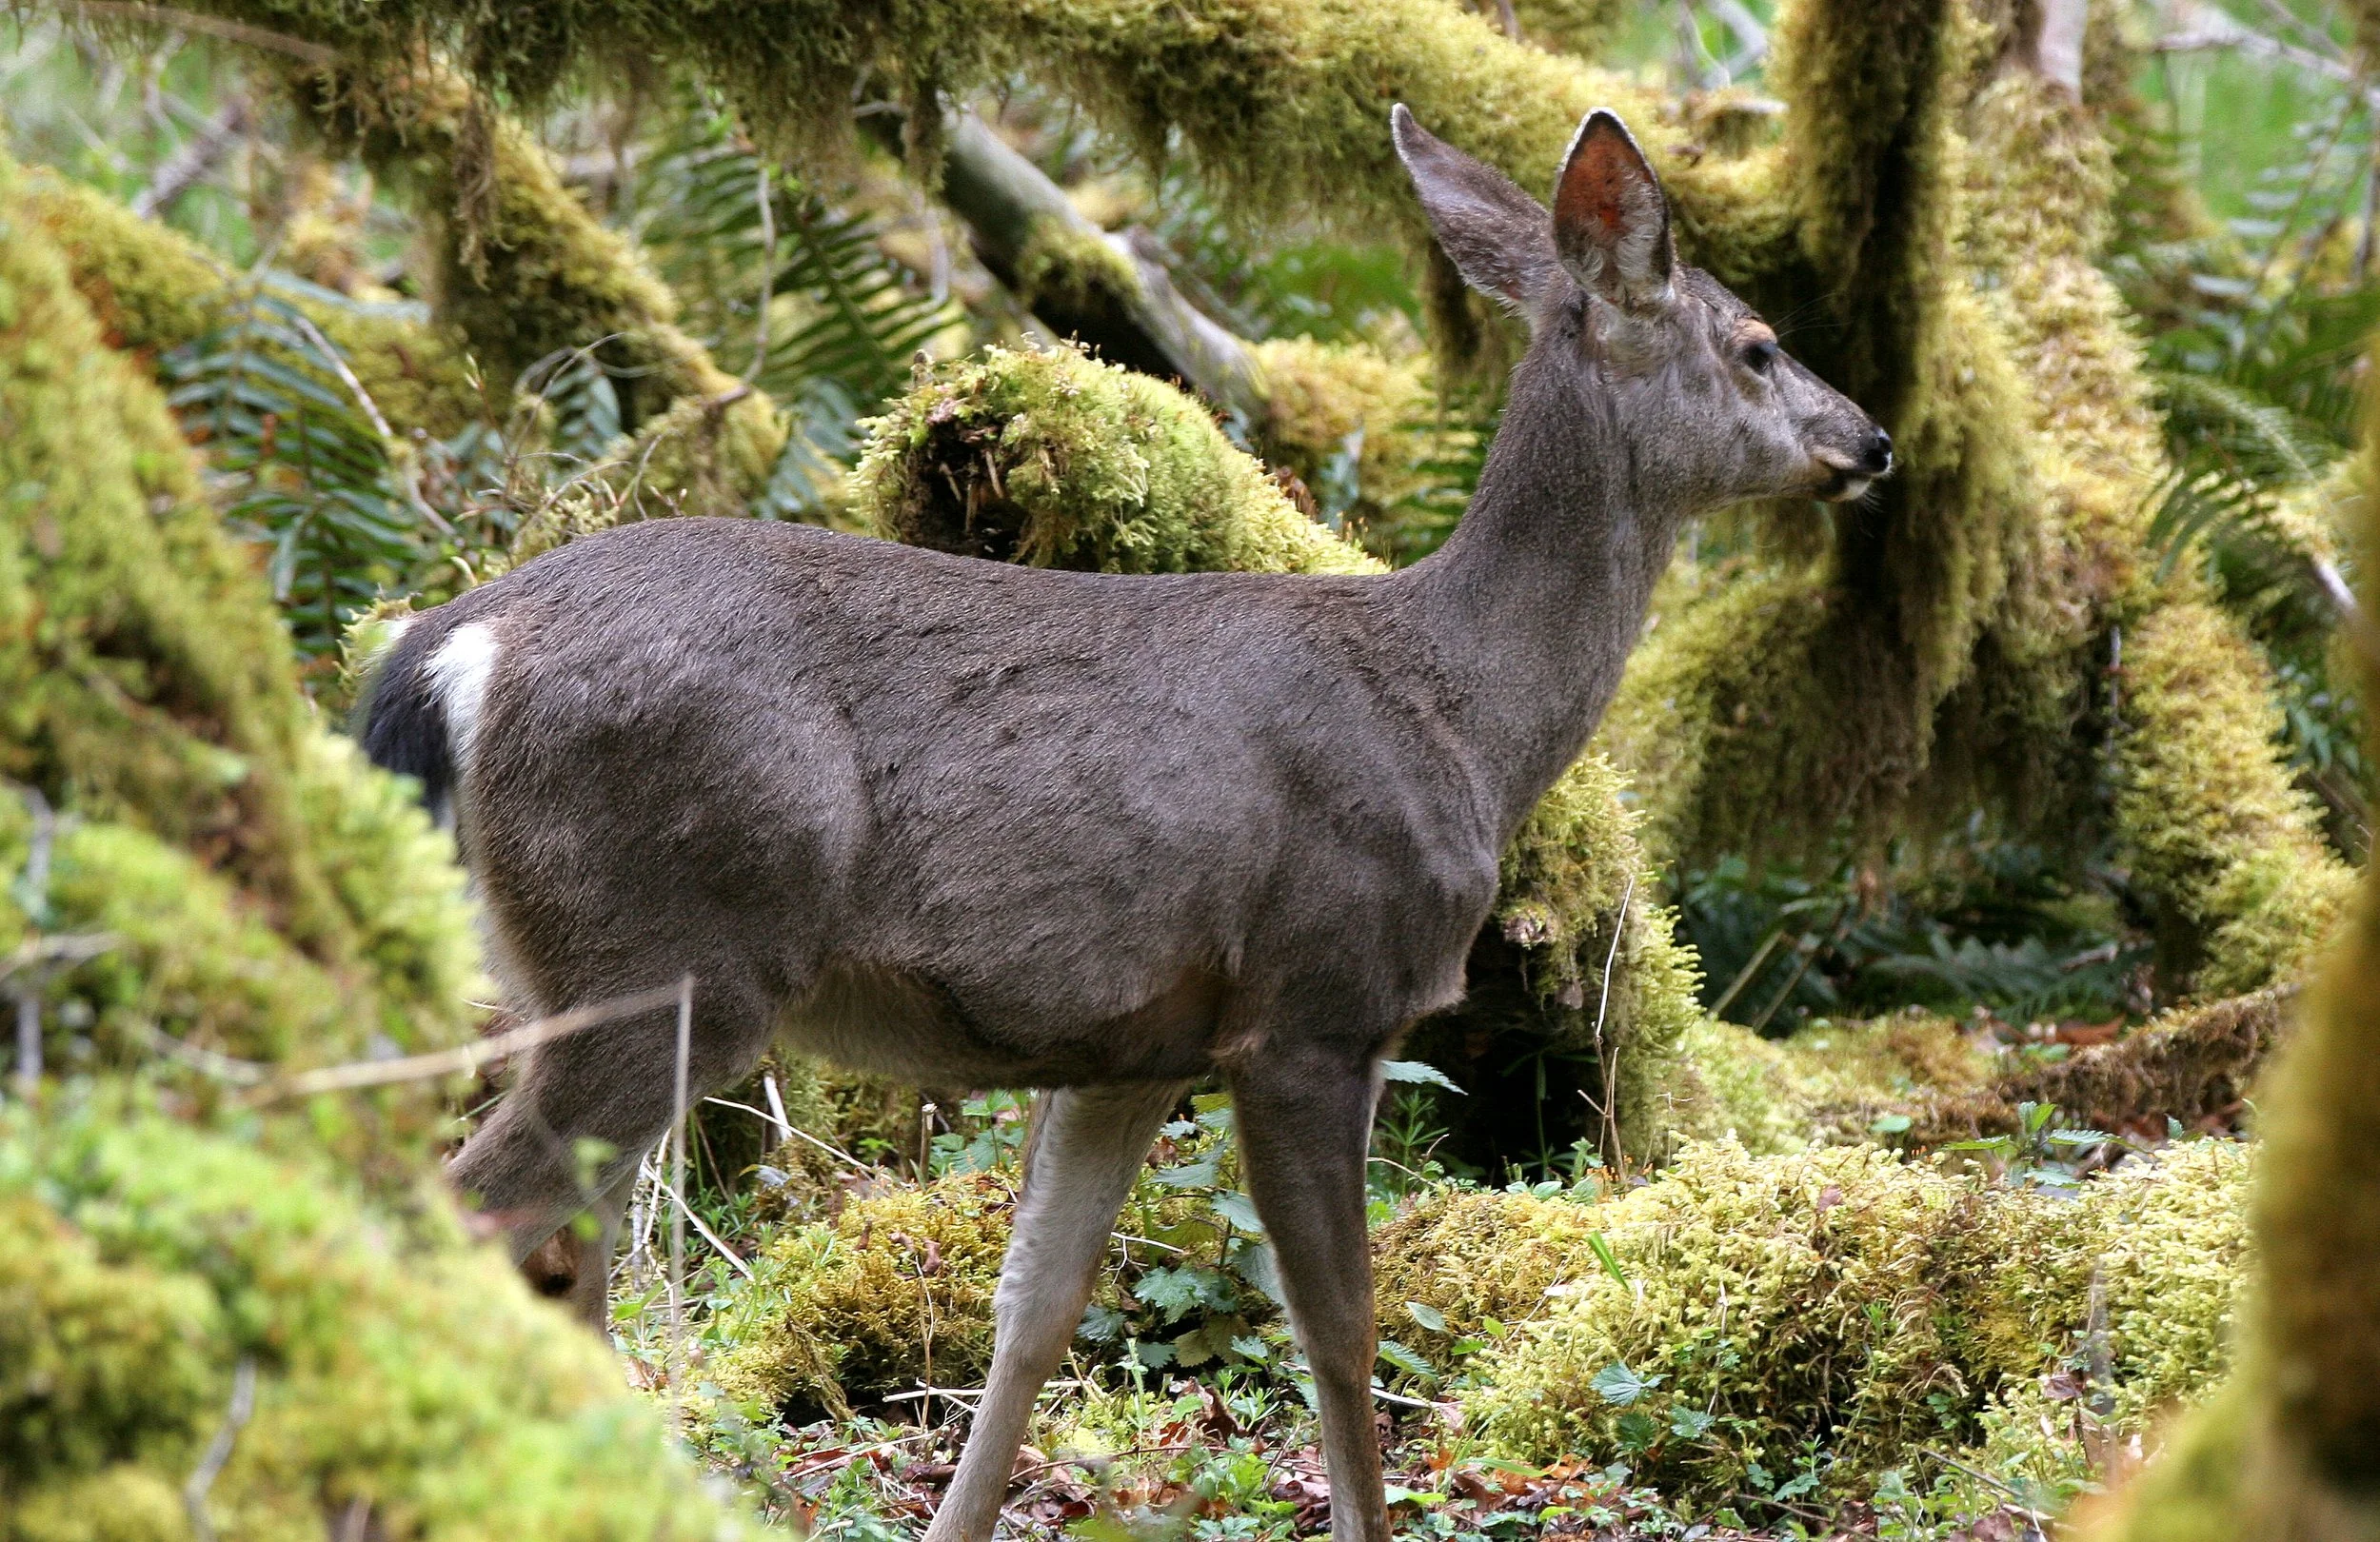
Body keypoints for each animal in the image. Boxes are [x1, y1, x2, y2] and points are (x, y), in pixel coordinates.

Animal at [359, 106, 1889, 1542]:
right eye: (1758, 345)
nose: (1869, 440)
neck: (1464, 714)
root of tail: (448, 648)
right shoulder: (1316, 1002)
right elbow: (1342, 1329)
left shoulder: (1131, 1048)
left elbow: (1034, 1310)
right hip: (667, 952)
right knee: (465, 1213)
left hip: (569, 967)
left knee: (551, 1246)